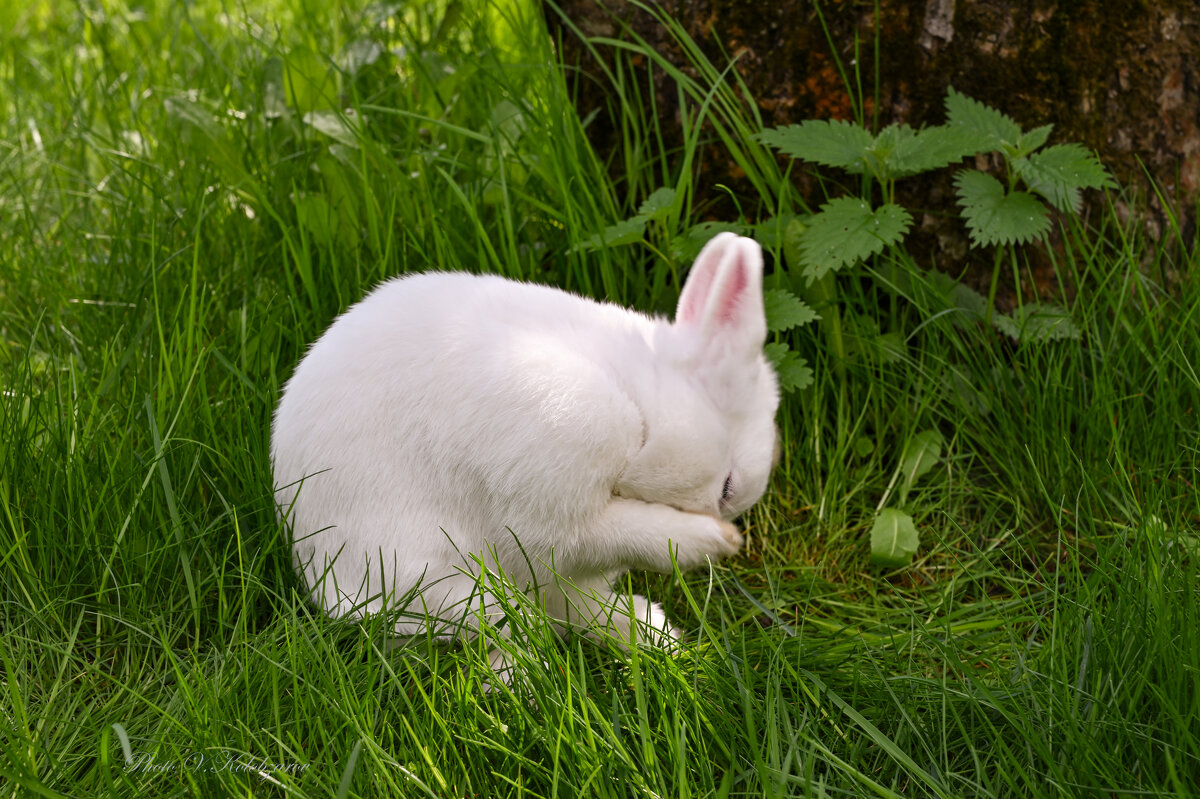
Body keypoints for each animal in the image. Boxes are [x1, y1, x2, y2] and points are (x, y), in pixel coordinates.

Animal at [271, 231, 777, 667]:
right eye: (726, 487)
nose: (727, 528)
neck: (636, 397)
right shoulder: (559, 498)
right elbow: (622, 532)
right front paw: (708, 541)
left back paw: (653, 637)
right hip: (438, 574)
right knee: (510, 630)